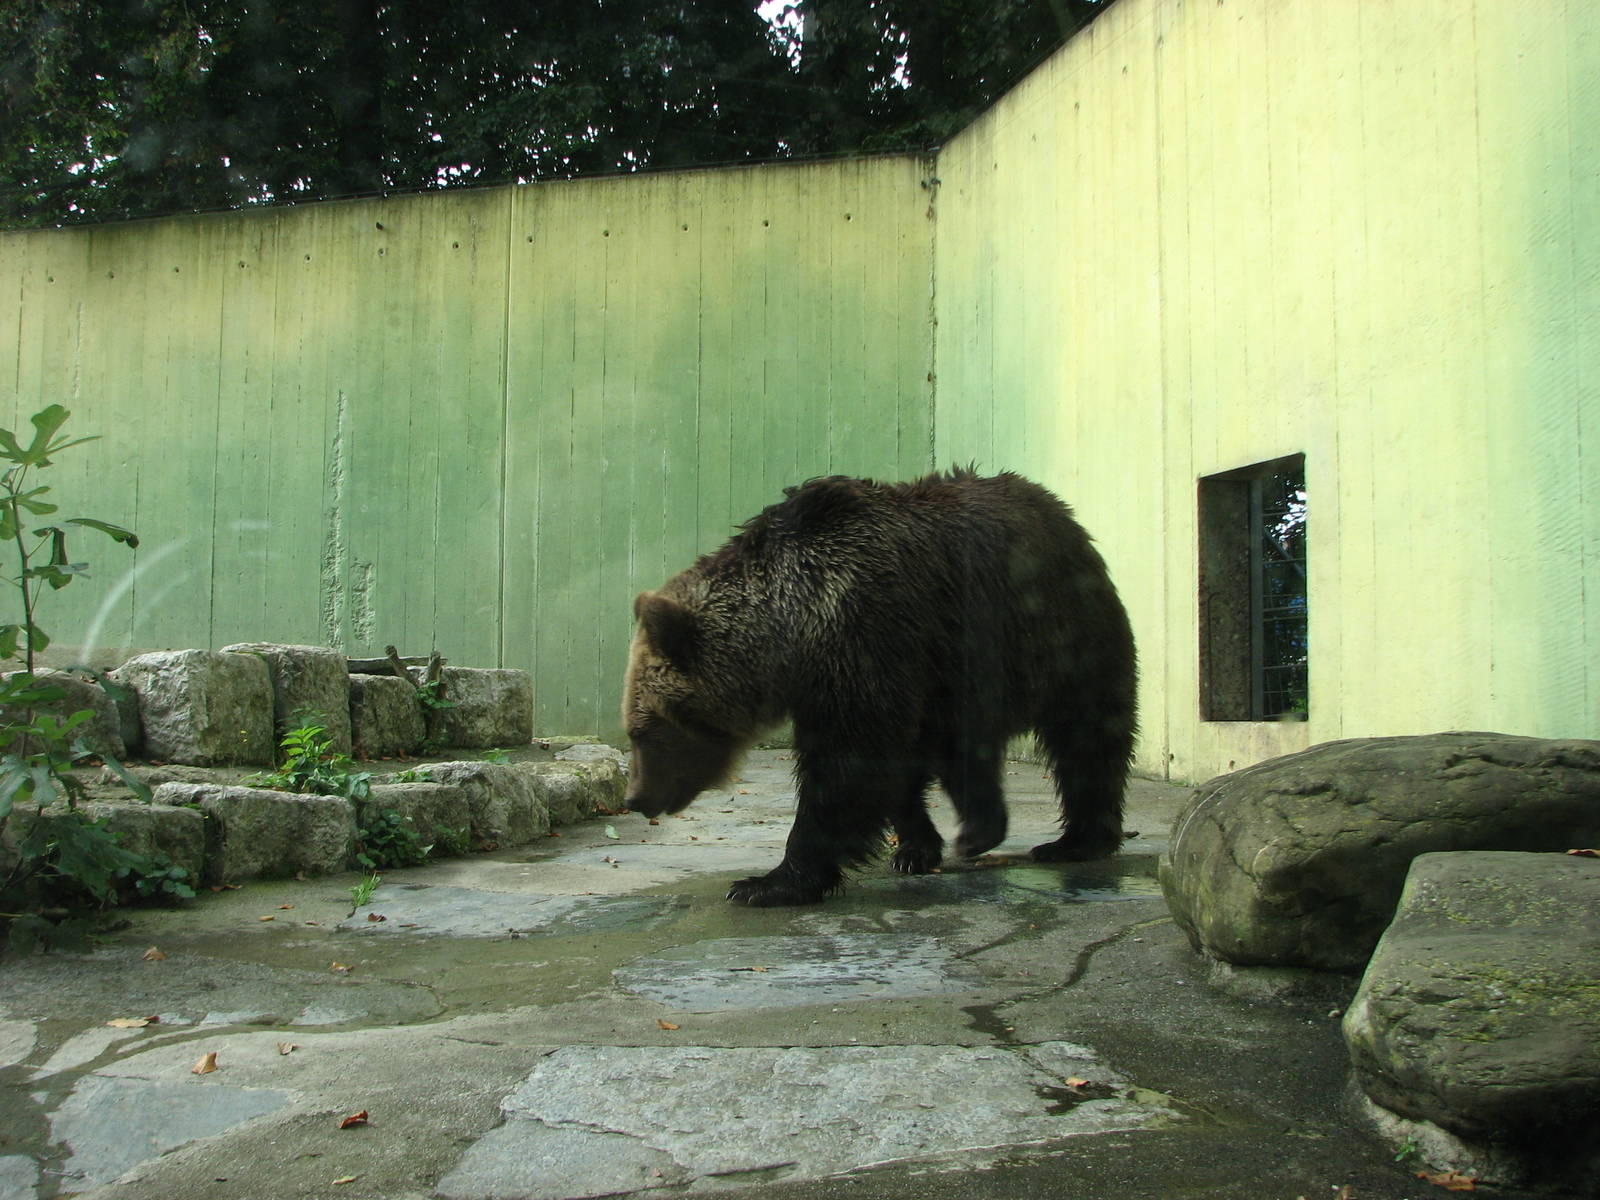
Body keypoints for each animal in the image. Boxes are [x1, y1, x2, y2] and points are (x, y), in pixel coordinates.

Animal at [621, 468, 1137, 906]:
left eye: (643, 731)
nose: (635, 798)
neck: (792, 631)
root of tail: (1056, 507)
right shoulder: (868, 675)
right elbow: (893, 768)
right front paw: (915, 847)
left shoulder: (863, 639)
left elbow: (848, 767)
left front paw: (767, 883)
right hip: (965, 669)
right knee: (967, 747)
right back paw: (980, 829)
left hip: (1057, 634)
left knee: (1089, 737)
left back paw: (1074, 840)